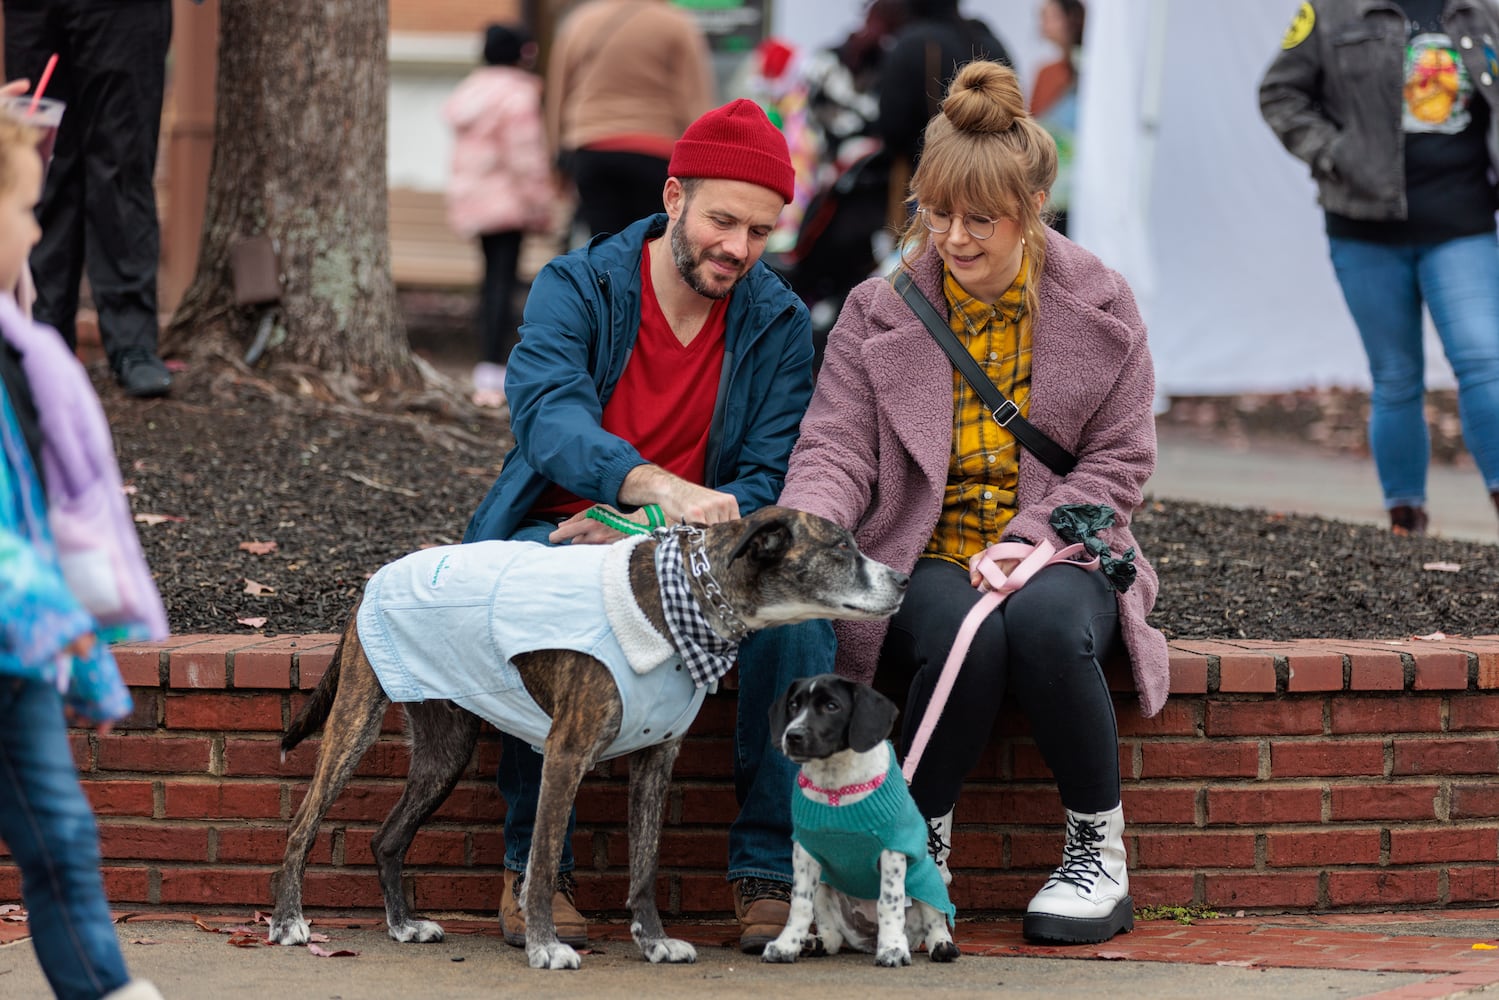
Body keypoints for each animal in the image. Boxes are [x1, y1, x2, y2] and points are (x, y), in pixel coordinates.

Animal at [761, 677, 959, 965]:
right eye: (793, 705)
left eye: (832, 706)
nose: (792, 736)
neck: (837, 786)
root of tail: (867, 940)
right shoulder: (805, 853)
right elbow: (799, 904)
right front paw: (786, 945)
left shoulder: (892, 851)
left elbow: (889, 902)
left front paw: (892, 949)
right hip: (824, 885)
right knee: (832, 935)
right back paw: (815, 943)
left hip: (927, 878)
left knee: (935, 922)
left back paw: (940, 946)